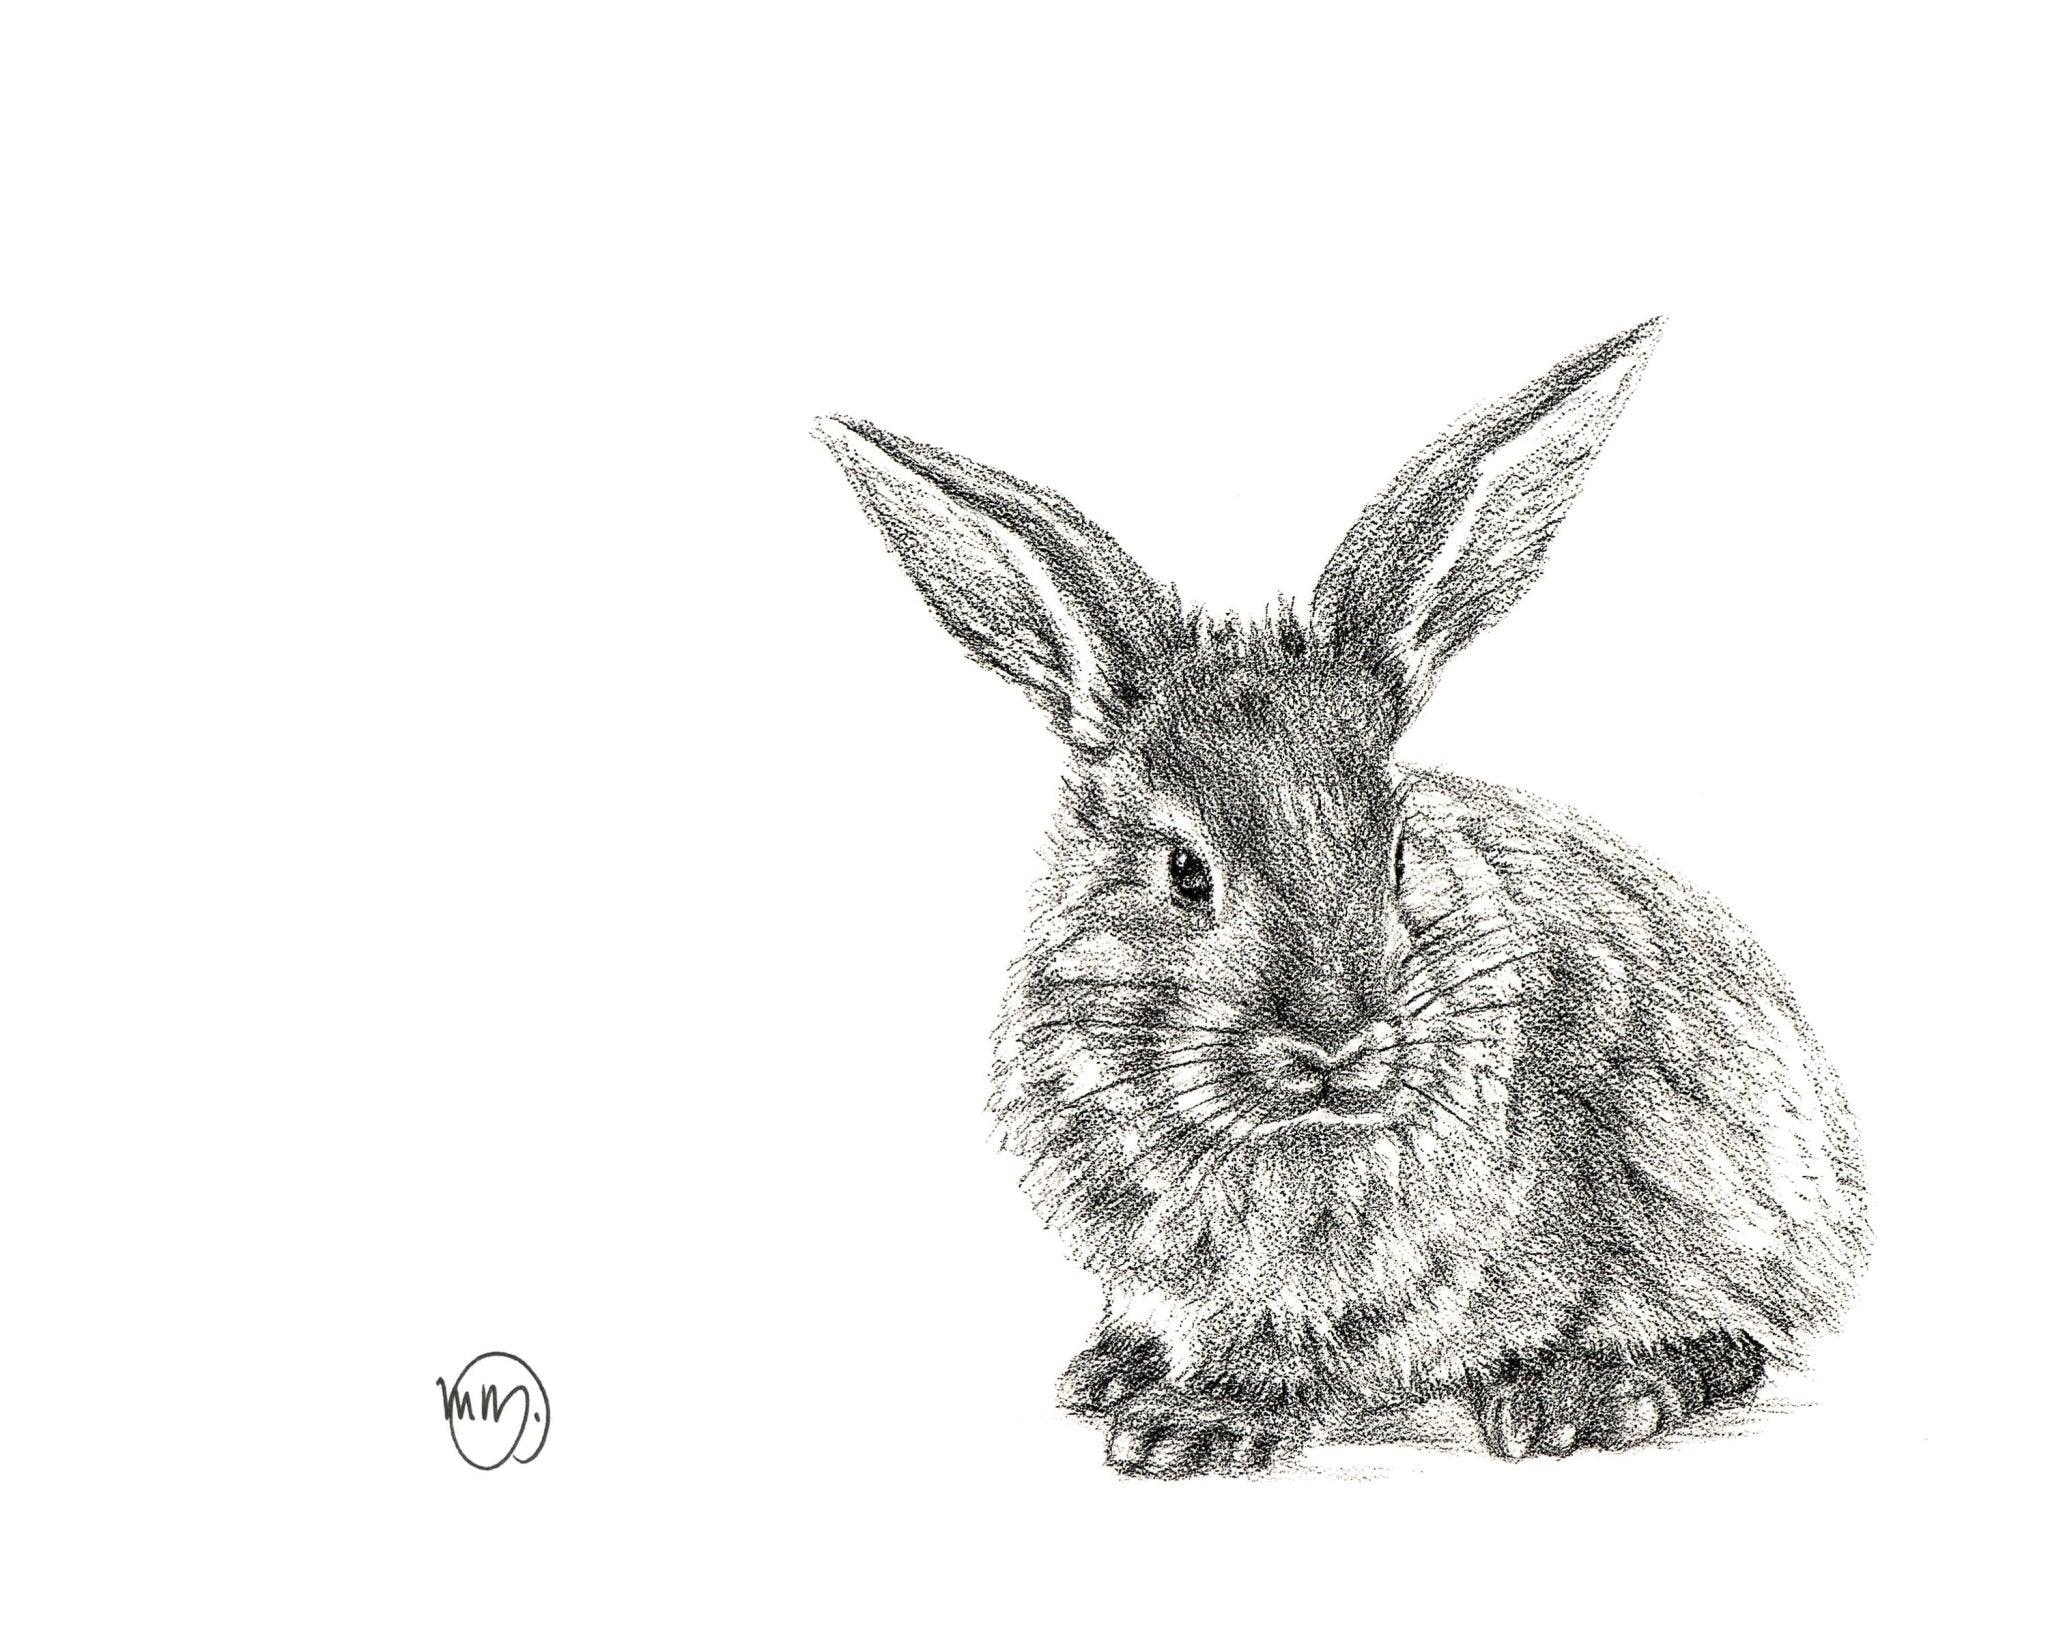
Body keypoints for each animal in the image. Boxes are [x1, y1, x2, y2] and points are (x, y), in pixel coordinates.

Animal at [815, 320, 1866, 1477]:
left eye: (1398, 852)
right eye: (1184, 871)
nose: (1334, 1044)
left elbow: (1295, 1344)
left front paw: (1192, 1425)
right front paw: (1116, 1376)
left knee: (1727, 1335)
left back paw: (1581, 1396)